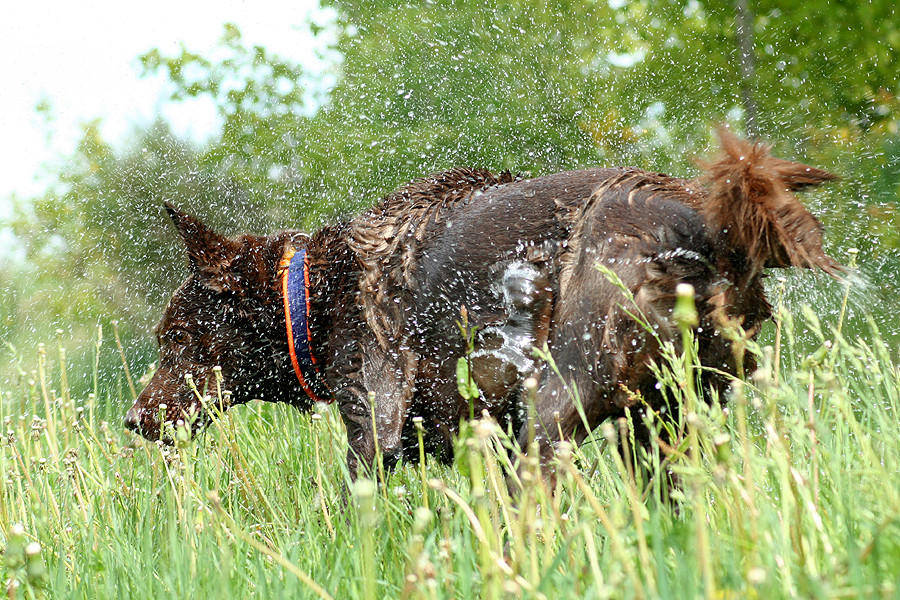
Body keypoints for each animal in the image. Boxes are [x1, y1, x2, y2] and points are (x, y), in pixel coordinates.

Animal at [125, 129, 836, 486]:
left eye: (173, 339)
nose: (132, 420)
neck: (314, 304)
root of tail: (709, 228)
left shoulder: (374, 426)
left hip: (560, 393)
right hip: (666, 413)